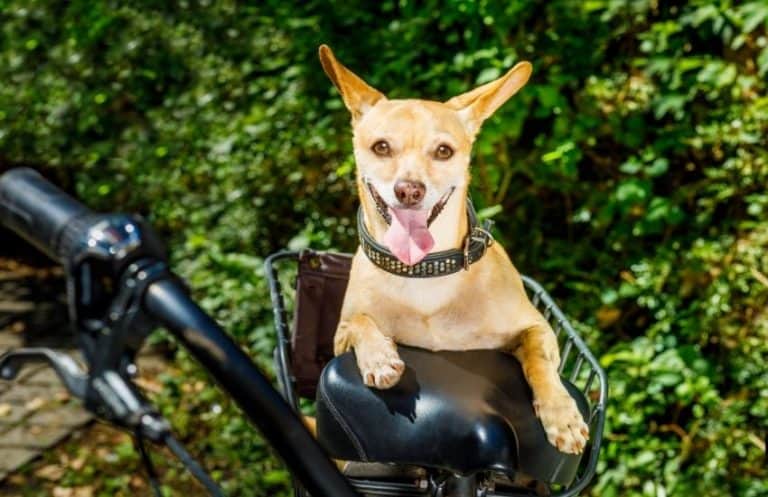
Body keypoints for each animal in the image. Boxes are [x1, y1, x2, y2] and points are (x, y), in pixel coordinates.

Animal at [318, 44, 588, 452]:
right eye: (381, 147)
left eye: (444, 151)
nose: (409, 190)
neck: (425, 269)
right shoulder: (341, 333)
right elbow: (363, 322)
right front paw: (380, 358)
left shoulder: (537, 327)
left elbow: (539, 359)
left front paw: (562, 415)